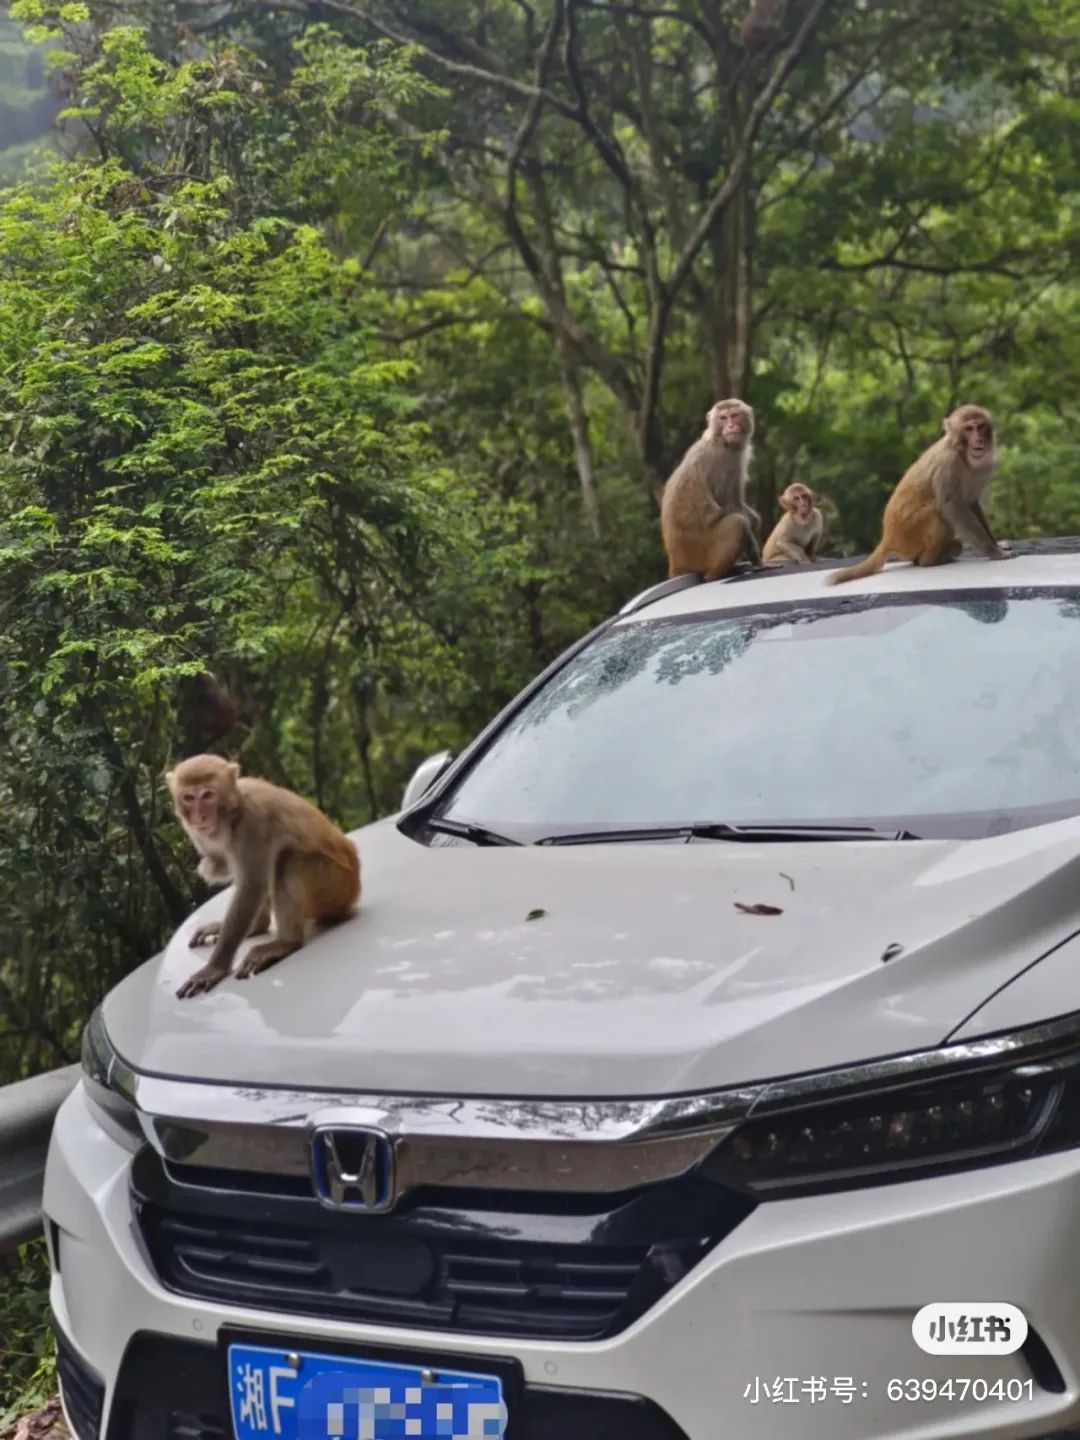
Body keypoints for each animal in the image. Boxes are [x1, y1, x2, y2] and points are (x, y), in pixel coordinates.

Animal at [164, 754, 360, 1002]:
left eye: (207, 795)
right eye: (188, 798)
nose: (200, 815)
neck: (233, 812)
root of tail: (356, 888)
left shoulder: (252, 824)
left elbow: (251, 886)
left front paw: (214, 968)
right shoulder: (198, 832)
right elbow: (228, 867)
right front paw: (211, 866)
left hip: (337, 887)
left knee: (288, 863)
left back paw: (285, 943)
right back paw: (256, 928)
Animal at [659, 397, 760, 581]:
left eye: (734, 415)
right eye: (723, 418)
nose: (730, 427)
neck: (720, 440)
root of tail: (676, 561)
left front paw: (756, 520)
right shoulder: (726, 461)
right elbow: (731, 507)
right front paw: (758, 560)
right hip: (702, 553)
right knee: (737, 523)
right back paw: (716, 574)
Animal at [829, 400, 1013, 584]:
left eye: (981, 426)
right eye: (969, 429)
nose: (978, 439)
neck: (961, 453)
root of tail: (888, 537)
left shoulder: (983, 467)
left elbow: (971, 503)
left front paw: (996, 544)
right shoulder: (949, 462)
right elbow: (952, 506)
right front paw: (993, 552)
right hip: (910, 537)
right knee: (937, 512)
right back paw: (932, 559)